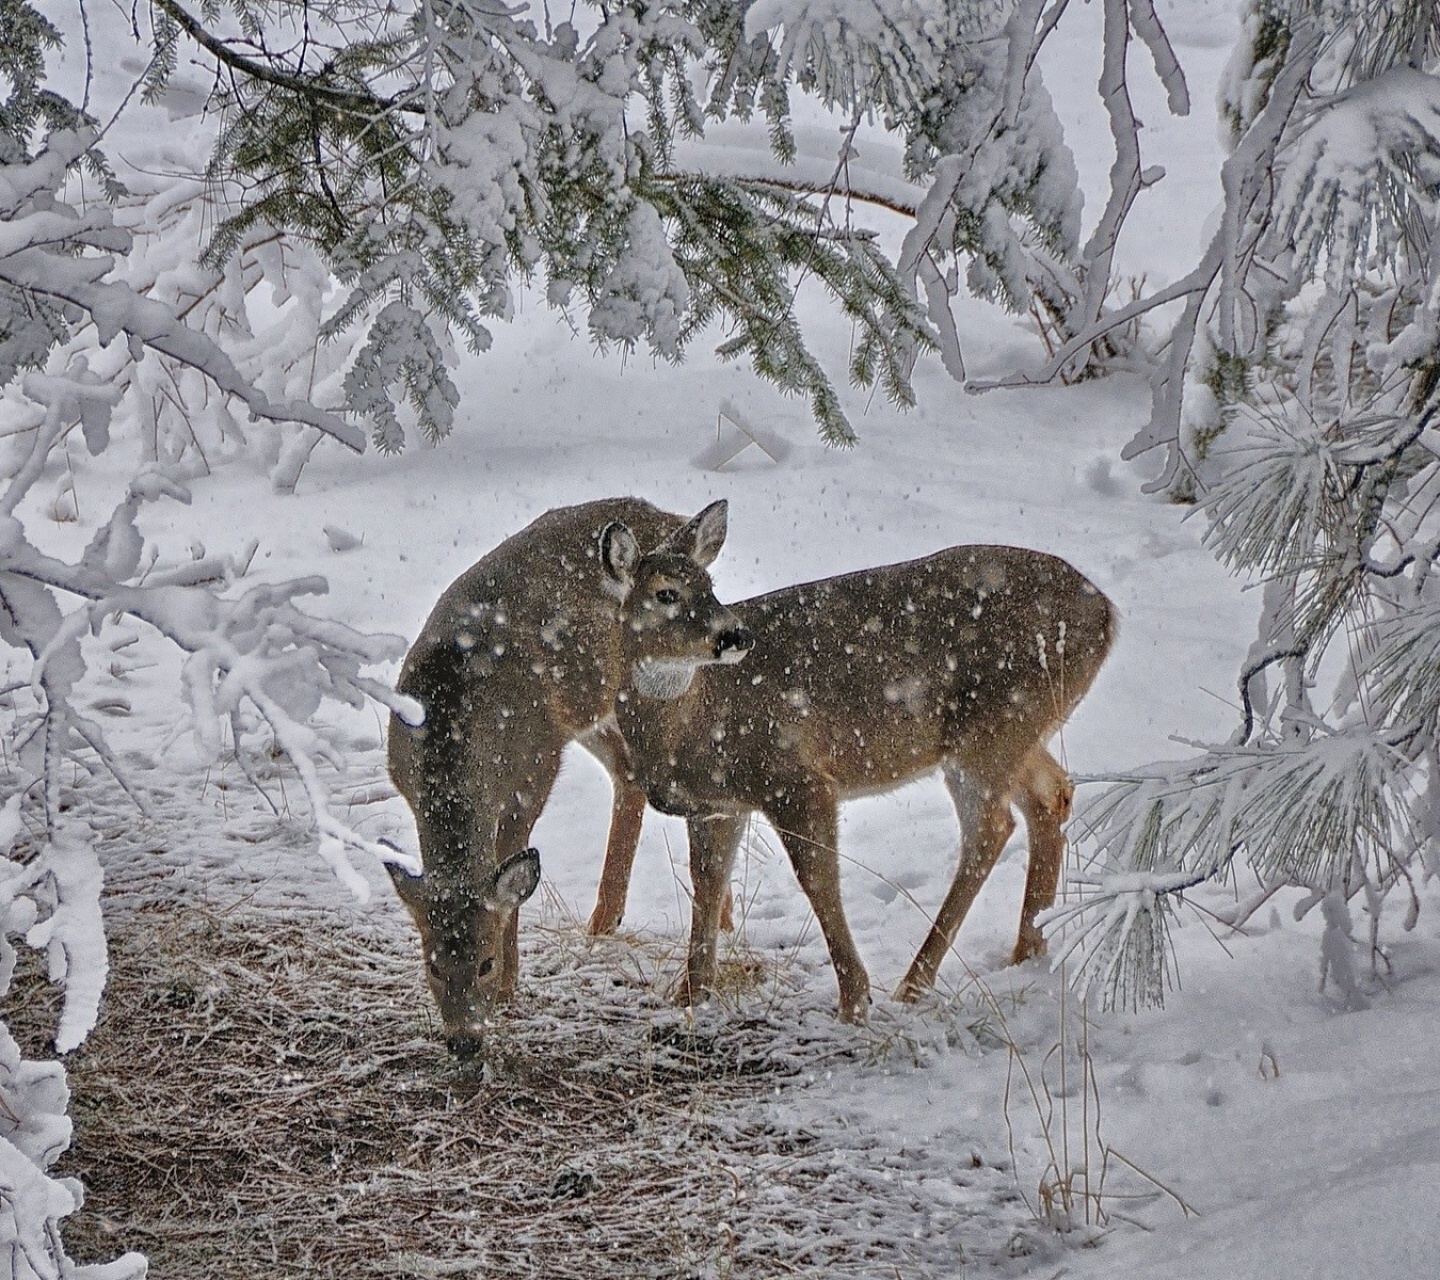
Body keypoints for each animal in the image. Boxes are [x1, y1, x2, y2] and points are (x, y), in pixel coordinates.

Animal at [388, 495, 691, 1053]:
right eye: (433, 966)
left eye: (484, 963)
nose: (464, 1040)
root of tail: (666, 514)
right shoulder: (405, 783)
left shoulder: (534, 771)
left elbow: (510, 871)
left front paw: (510, 987)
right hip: (589, 710)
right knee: (629, 774)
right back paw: (604, 920)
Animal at [596, 498, 1111, 1019]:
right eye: (666, 593)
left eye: (710, 585)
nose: (735, 636)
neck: (691, 721)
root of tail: (1108, 613)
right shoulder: (717, 805)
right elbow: (707, 884)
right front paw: (688, 995)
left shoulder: (796, 776)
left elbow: (818, 878)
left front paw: (854, 998)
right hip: (1018, 731)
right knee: (1053, 794)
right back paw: (1028, 950)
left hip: (994, 728)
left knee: (991, 828)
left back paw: (914, 983)